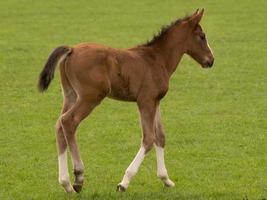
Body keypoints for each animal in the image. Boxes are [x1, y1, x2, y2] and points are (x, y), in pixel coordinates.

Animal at [37, 8, 215, 193]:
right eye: (202, 36)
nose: (211, 60)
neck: (157, 59)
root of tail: (71, 49)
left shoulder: (156, 101)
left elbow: (160, 137)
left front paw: (166, 180)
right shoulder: (145, 101)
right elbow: (149, 138)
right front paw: (124, 182)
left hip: (70, 95)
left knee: (59, 125)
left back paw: (66, 183)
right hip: (91, 97)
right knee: (69, 121)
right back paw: (78, 177)